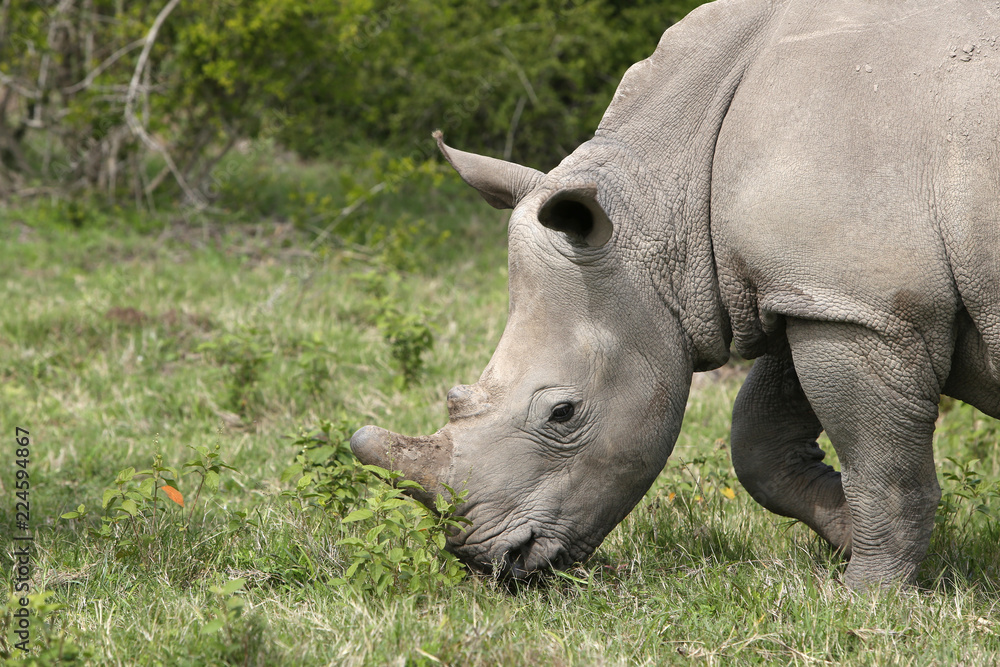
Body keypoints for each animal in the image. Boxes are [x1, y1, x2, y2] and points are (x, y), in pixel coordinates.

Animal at [351, 0, 1000, 588]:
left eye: (564, 413)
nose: (489, 562)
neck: (661, 193)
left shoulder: (865, 311)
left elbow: (881, 472)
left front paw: (869, 599)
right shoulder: (817, 297)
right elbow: (758, 442)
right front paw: (854, 536)